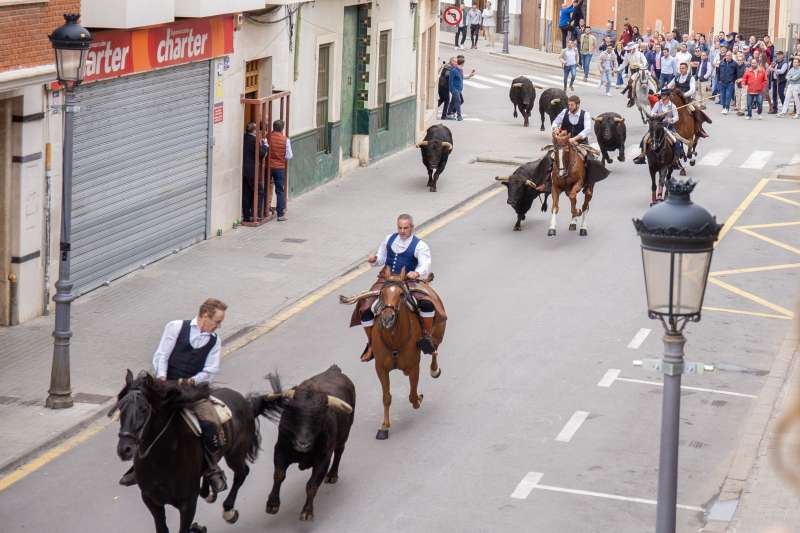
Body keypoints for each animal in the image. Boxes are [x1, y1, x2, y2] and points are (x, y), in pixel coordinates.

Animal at [111, 370, 260, 532]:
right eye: (121, 408)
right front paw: (198, 527)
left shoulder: (187, 504)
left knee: (241, 473)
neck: (161, 461)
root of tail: (245, 402)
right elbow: (162, 528)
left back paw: (228, 510)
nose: (124, 449)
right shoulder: (151, 500)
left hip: (235, 455)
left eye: (144, 409)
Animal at [253, 364, 356, 520]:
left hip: (343, 436)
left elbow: (312, 485)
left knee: (339, 452)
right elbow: (279, 475)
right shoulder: (280, 450)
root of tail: (334, 370)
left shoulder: (323, 459)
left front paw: (307, 511)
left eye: (319, 417)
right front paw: (272, 504)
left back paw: (332, 475)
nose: (302, 444)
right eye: (294, 413)